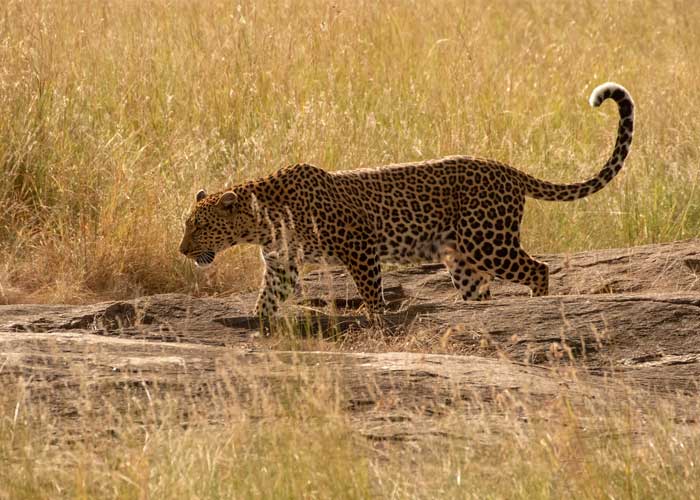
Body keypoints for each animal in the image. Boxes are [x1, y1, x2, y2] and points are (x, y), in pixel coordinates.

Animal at [179, 80, 636, 318]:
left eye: (199, 226)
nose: (182, 250)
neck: (261, 224)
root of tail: (506, 168)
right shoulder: (281, 264)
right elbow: (268, 297)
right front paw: (257, 323)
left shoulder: (359, 244)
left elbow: (370, 289)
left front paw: (374, 319)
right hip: (461, 257)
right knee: (481, 289)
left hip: (488, 241)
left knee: (538, 269)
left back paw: (537, 307)